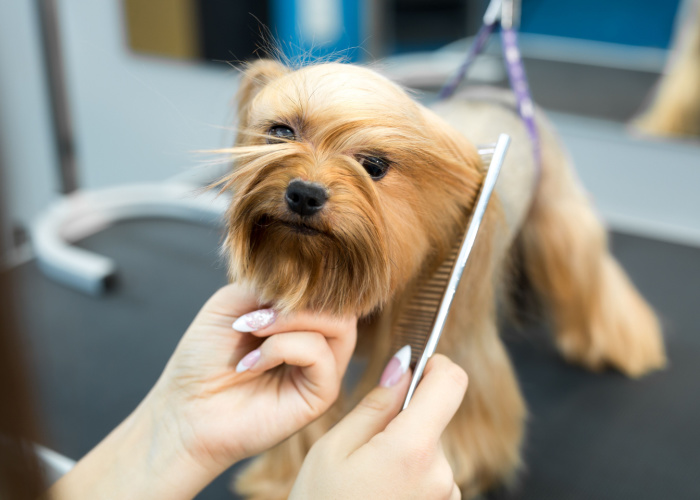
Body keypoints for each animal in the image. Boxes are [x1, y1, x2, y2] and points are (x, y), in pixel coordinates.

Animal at [220, 57, 668, 496]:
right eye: (280, 133)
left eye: (374, 166)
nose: (304, 193)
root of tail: (503, 92)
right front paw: (283, 477)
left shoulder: (449, 310)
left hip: (559, 209)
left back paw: (627, 346)